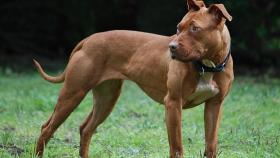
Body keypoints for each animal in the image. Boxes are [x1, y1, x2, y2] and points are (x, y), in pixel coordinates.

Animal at [33, 0, 234, 157]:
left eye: (195, 28)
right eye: (178, 28)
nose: (172, 47)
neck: (207, 65)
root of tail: (88, 39)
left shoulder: (214, 106)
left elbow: (211, 145)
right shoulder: (173, 103)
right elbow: (177, 148)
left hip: (106, 99)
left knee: (86, 129)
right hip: (72, 94)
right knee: (47, 128)